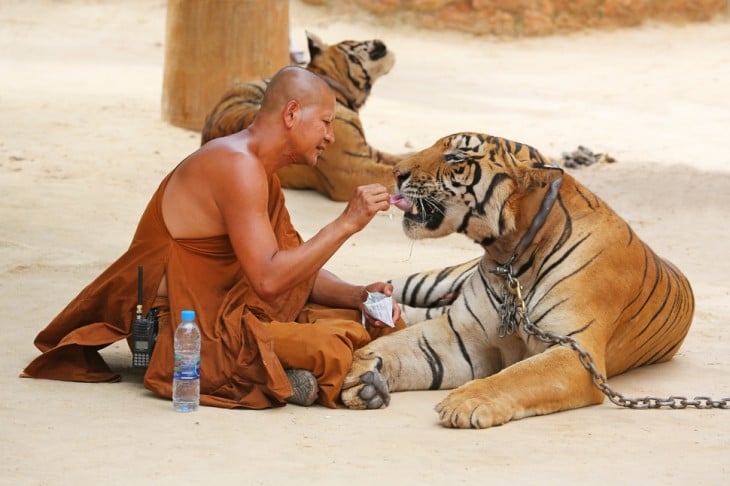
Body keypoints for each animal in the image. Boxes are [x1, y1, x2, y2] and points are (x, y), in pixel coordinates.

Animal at [199, 30, 404, 201]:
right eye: (356, 41)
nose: (381, 41)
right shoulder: (353, 169)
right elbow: (390, 173)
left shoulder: (368, 152)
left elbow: (401, 157)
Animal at [342, 132, 692, 430]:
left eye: (456, 156)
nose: (395, 173)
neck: (511, 255)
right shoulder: (461, 334)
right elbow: (398, 345)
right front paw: (361, 371)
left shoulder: (576, 351)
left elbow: (519, 375)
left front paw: (466, 402)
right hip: (432, 280)